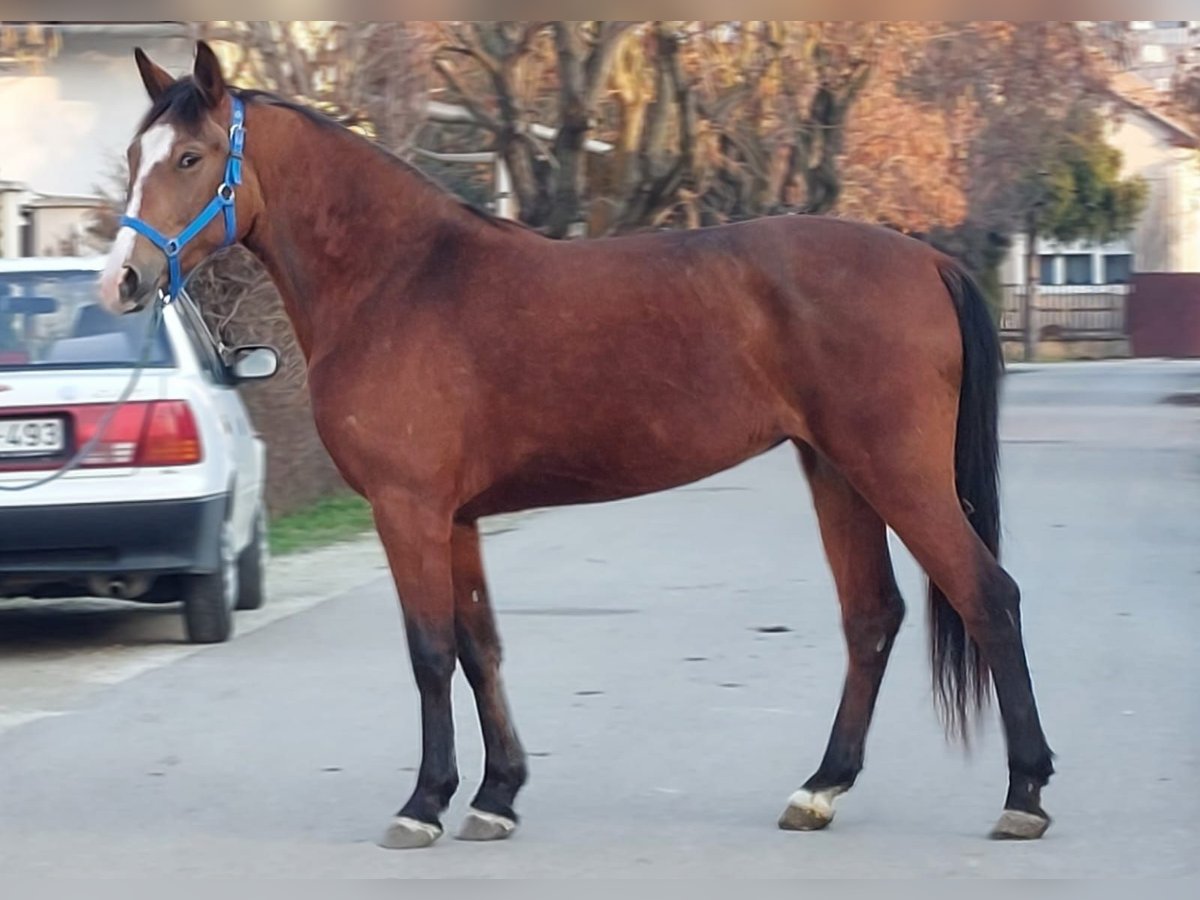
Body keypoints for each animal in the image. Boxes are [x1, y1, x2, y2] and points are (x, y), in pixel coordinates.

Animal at [103, 45, 1056, 849]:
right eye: (134, 154)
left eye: (190, 159)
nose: (121, 281)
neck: (398, 279)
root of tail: (924, 260)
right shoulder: (456, 518)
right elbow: (479, 647)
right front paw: (496, 796)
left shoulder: (409, 510)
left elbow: (430, 652)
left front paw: (423, 804)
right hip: (837, 472)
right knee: (872, 617)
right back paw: (821, 788)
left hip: (895, 472)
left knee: (988, 595)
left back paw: (1023, 794)